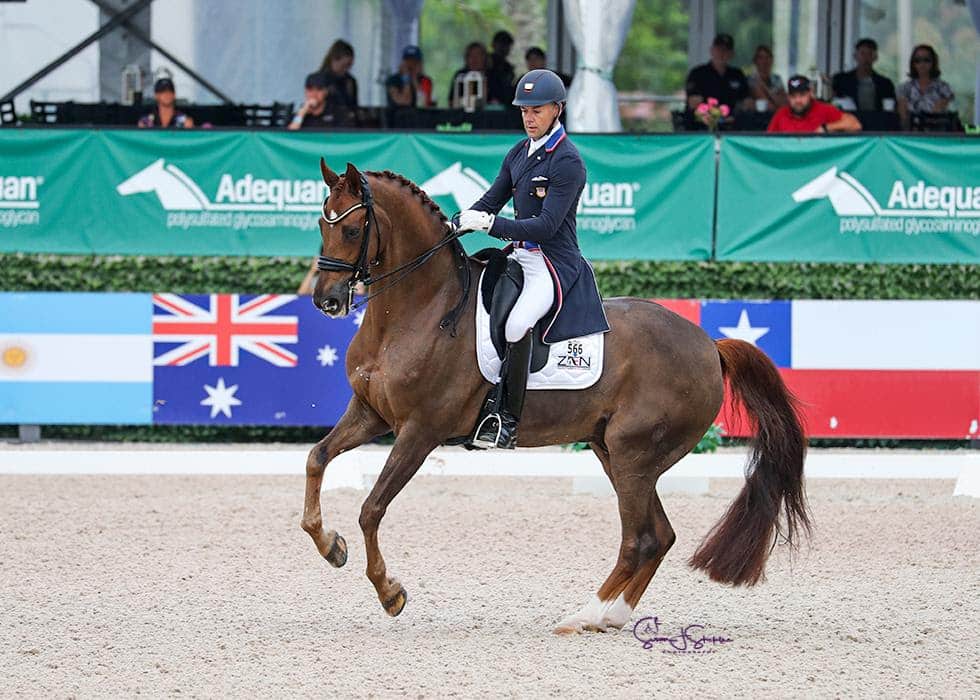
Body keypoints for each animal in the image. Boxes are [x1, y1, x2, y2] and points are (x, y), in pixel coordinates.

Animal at [302, 163, 808, 636]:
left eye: (352, 229)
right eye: (322, 224)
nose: (326, 301)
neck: (420, 310)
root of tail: (710, 345)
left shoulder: (420, 431)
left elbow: (372, 509)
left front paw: (390, 593)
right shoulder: (371, 413)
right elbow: (317, 458)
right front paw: (331, 546)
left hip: (634, 454)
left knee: (639, 539)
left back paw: (582, 616)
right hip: (614, 452)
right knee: (659, 535)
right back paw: (612, 616)